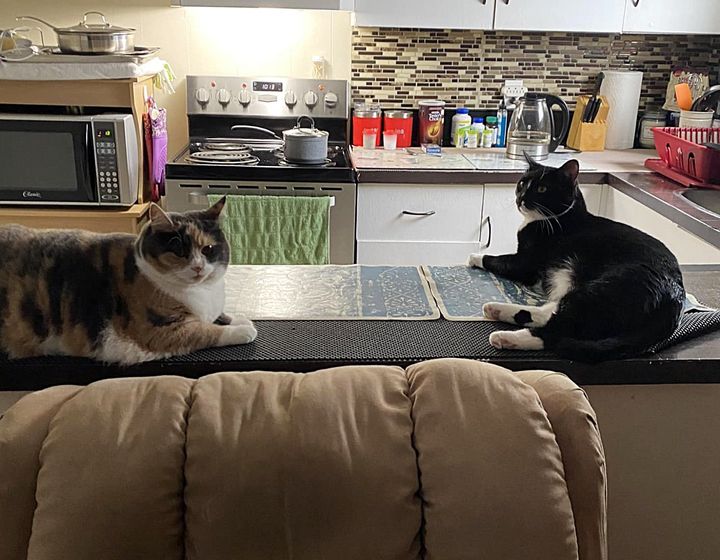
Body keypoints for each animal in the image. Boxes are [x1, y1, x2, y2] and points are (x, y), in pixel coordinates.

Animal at [0, 195, 258, 366]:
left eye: (208, 249)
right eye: (179, 252)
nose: (197, 267)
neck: (203, 292)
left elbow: (220, 316)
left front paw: (238, 318)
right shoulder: (159, 331)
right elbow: (207, 331)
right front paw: (243, 330)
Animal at [470, 154, 684, 364]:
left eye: (542, 189)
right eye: (522, 183)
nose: (520, 198)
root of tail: (675, 297)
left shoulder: (525, 264)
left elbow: (499, 259)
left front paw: (474, 257)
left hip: (602, 288)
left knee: (557, 332)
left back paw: (505, 337)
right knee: (552, 312)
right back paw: (495, 309)